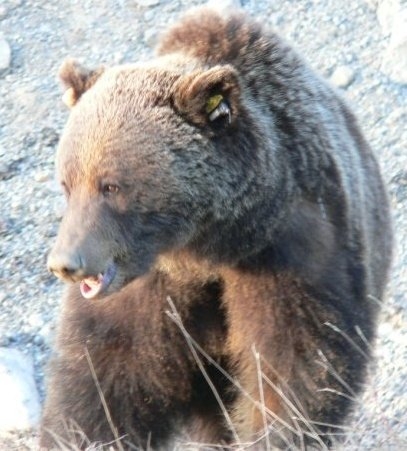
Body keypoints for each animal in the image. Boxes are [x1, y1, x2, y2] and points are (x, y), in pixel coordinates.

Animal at [40, 4, 392, 451]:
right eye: (67, 183)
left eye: (111, 185)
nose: (66, 263)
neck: (208, 247)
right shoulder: (145, 290)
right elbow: (106, 377)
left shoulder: (294, 254)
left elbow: (297, 366)